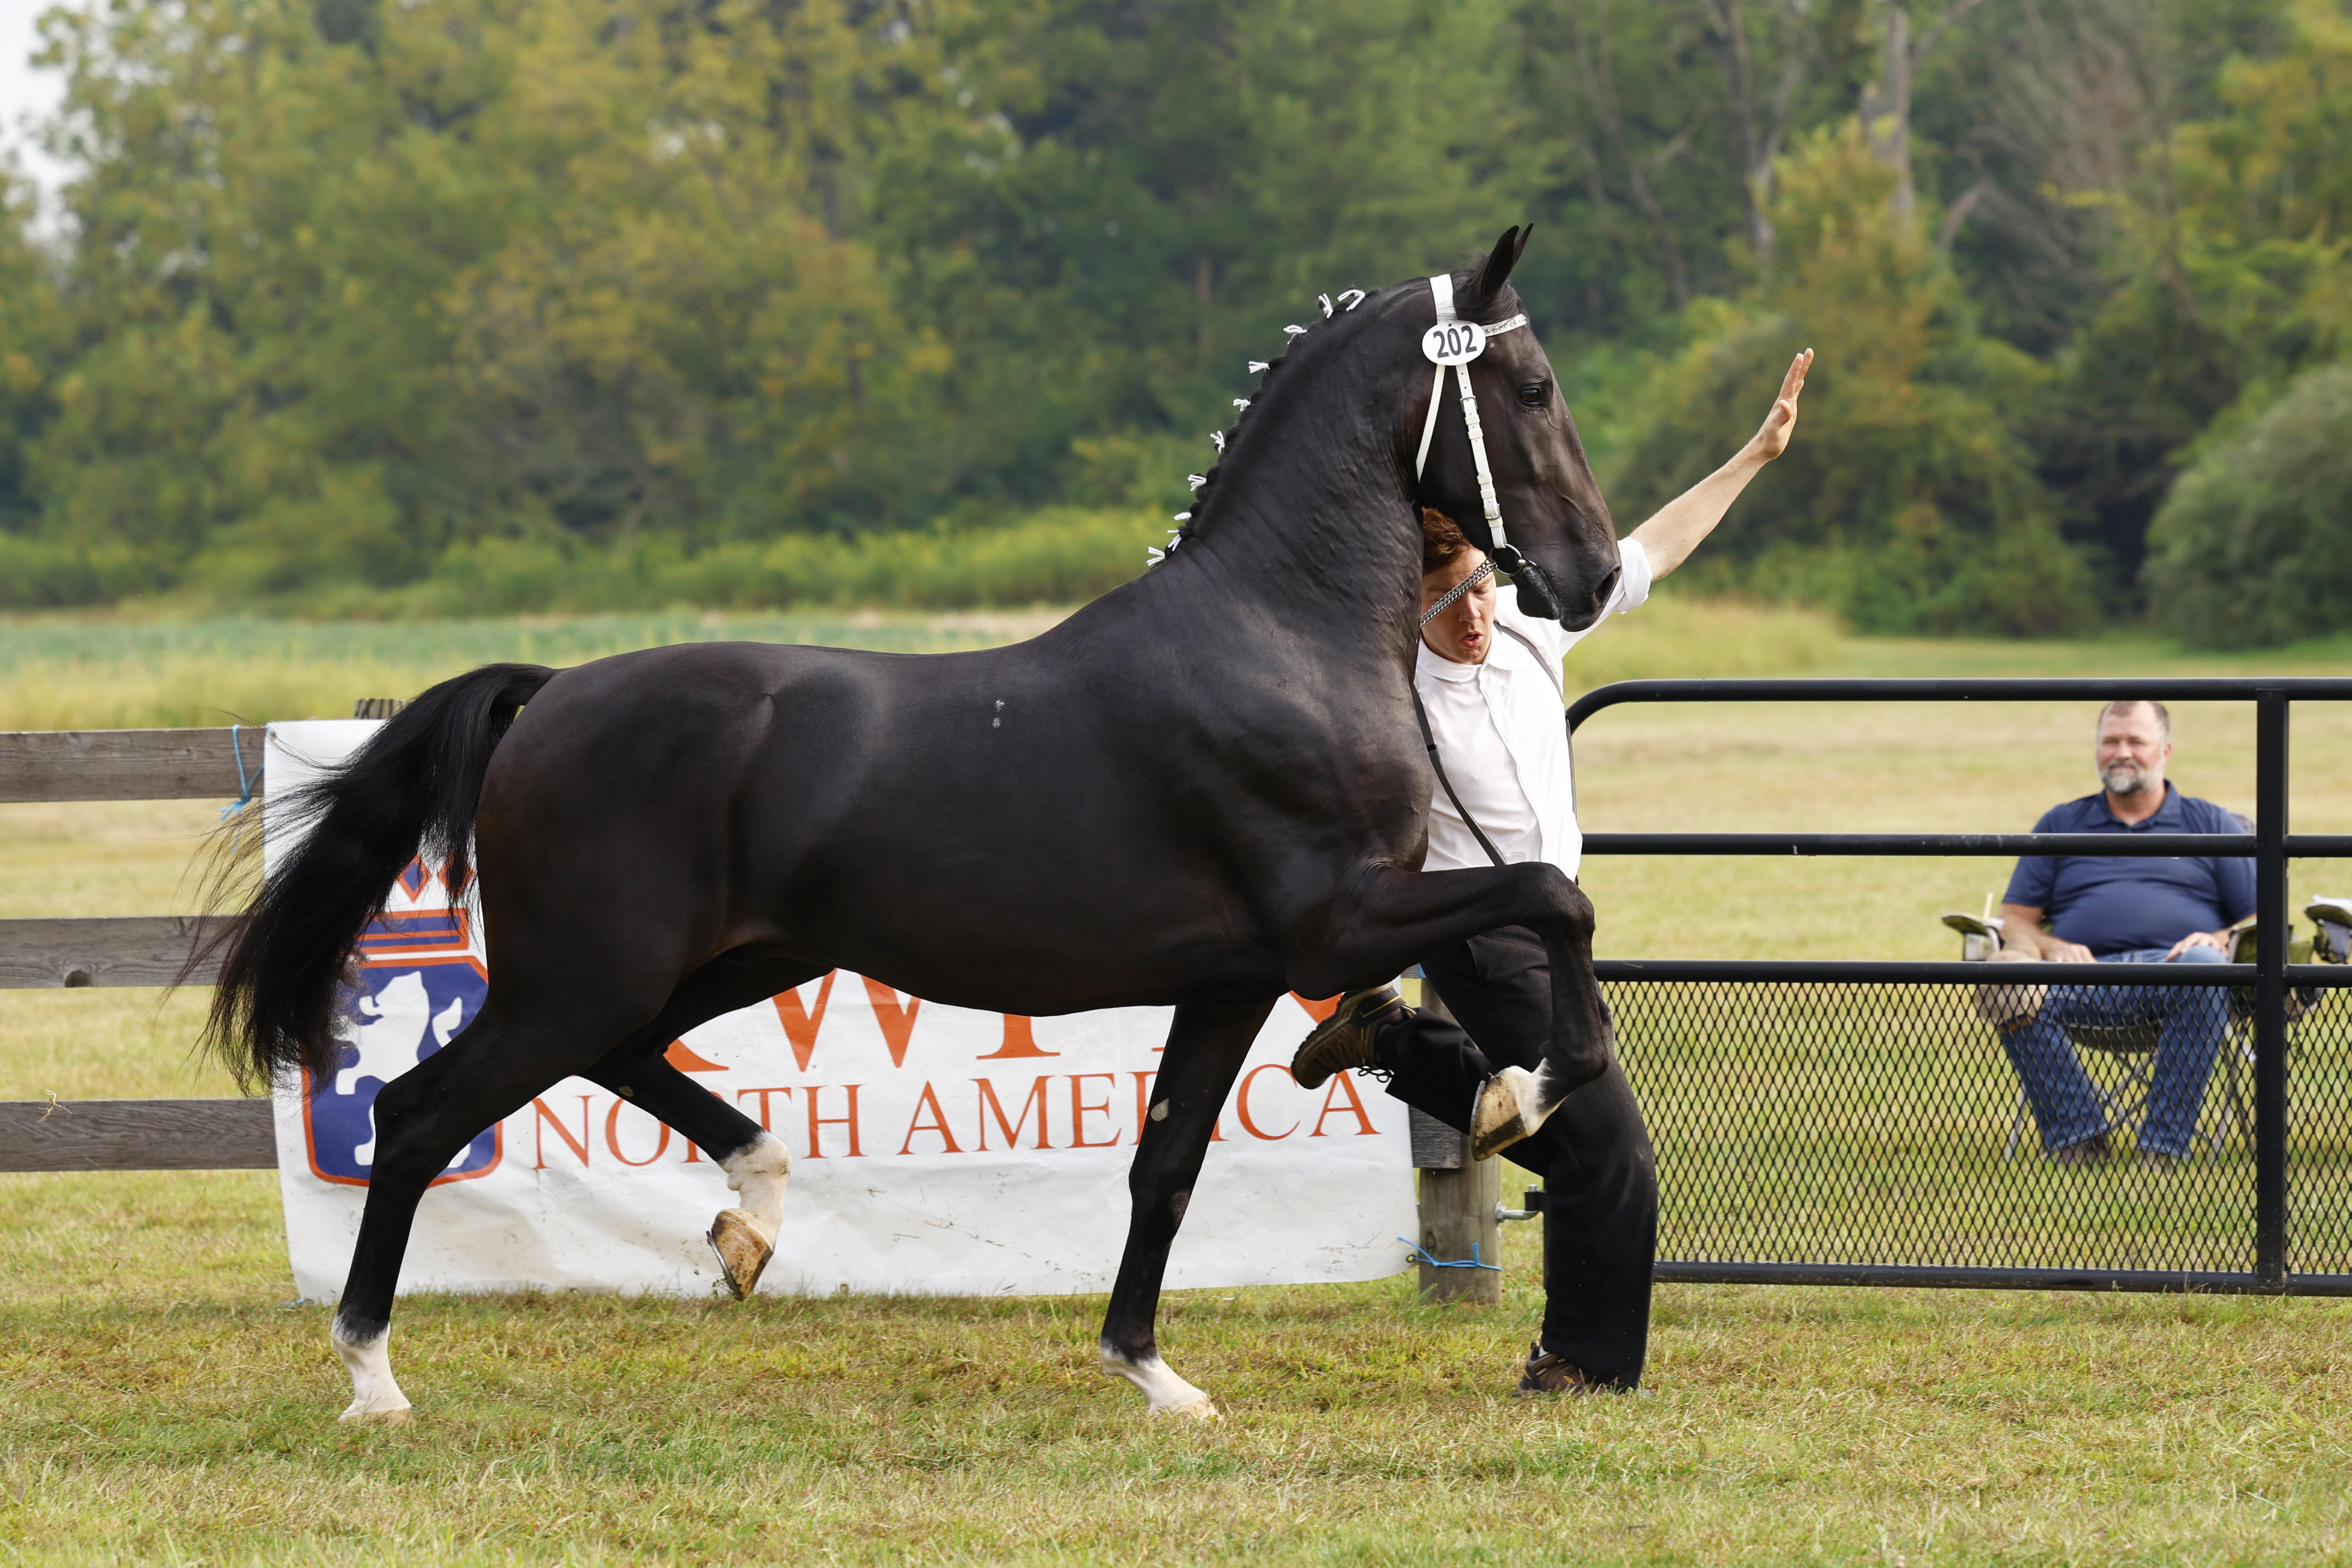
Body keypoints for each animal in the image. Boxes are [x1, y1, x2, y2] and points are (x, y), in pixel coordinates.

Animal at [204, 225, 1625, 1423]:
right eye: (1534, 388)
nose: (1597, 576)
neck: (1280, 633)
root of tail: (550, 694)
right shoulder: (1334, 923)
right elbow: (1556, 896)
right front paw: (1520, 1091)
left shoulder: (1232, 979)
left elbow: (1163, 1169)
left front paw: (1151, 1373)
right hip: (581, 977)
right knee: (417, 1115)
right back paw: (374, 1376)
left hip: (711, 964)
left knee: (620, 1065)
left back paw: (752, 1216)